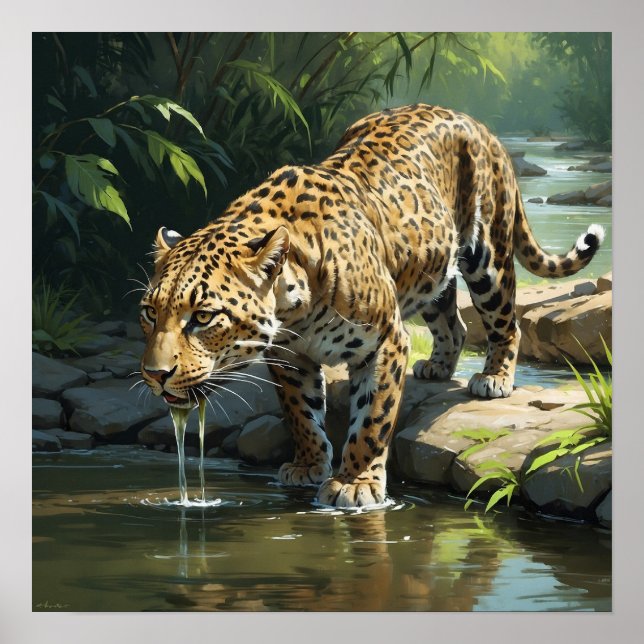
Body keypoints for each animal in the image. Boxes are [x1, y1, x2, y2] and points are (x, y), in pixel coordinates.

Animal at [139, 104, 604, 508]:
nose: (155, 375)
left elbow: (372, 419)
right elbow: (300, 413)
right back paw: (438, 367)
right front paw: (308, 465)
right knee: (451, 322)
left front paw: (354, 483)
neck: (294, 309)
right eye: (149, 313)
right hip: (430, 270)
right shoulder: (288, 356)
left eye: (203, 317)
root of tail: (473, 122)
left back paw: (494, 378)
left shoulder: (385, 341)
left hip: (488, 255)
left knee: (506, 320)